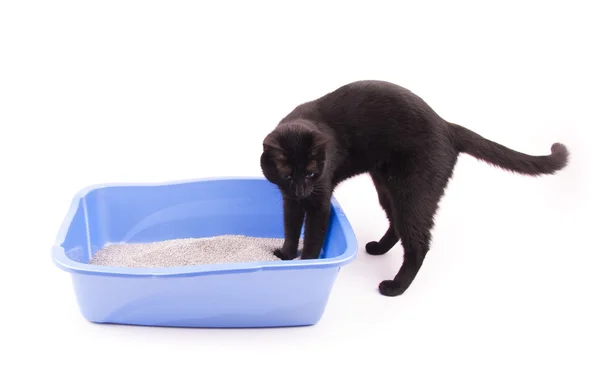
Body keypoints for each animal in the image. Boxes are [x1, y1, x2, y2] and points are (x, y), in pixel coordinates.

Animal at [260, 80, 568, 296]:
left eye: (312, 172)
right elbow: (290, 228)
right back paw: (378, 249)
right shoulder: (289, 201)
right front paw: (286, 255)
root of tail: (447, 126)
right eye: (287, 175)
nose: (301, 190)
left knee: (418, 242)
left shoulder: (320, 201)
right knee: (397, 225)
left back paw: (395, 287)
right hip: (388, 186)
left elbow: (313, 236)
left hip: (413, 191)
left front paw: (306, 264)